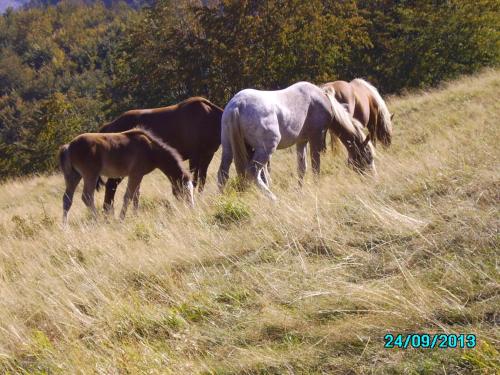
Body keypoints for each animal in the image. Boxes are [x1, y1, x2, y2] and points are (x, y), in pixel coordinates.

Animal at [57, 129, 192, 225]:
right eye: (185, 190)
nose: (191, 207)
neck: (151, 149)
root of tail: (69, 146)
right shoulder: (135, 174)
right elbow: (128, 196)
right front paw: (121, 219)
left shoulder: (138, 175)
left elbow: (136, 196)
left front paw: (135, 216)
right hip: (90, 175)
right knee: (87, 197)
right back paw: (97, 220)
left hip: (74, 176)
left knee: (67, 199)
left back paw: (64, 226)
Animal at [216, 81, 376, 201]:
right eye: (368, 157)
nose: (373, 179)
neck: (321, 100)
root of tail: (238, 104)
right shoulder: (316, 138)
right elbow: (316, 166)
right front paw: (316, 187)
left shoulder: (302, 141)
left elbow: (302, 168)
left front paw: (299, 190)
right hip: (265, 150)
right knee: (253, 172)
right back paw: (272, 198)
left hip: (228, 148)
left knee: (223, 174)